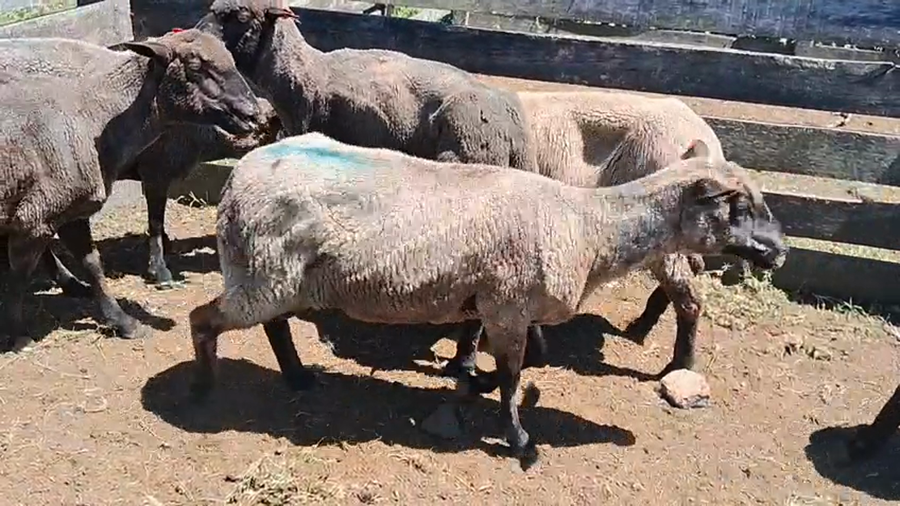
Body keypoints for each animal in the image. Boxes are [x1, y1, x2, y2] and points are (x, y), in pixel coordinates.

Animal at [0, 29, 262, 351]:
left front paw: (124, 322)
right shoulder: (38, 214)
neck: (93, 117)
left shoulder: (72, 211)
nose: (252, 114)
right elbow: (20, 276)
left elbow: (93, 266)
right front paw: (16, 332)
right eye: (195, 67)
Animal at [186, 132, 788, 468]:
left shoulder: (494, 303)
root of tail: (238, 177)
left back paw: (296, 376)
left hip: (275, 277)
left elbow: (503, 358)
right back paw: (205, 389)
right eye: (738, 208)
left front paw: (470, 379)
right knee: (204, 319)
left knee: (274, 324)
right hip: (261, 272)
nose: (780, 252)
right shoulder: (508, 306)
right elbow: (515, 376)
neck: (589, 227)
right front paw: (520, 439)